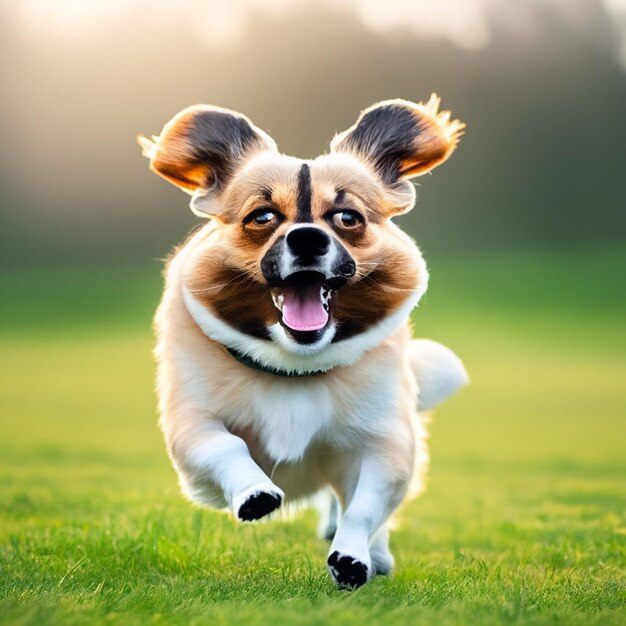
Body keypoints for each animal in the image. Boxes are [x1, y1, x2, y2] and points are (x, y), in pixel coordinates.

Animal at [139, 92, 466, 584]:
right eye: (262, 216)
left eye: (348, 217)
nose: (308, 238)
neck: (294, 367)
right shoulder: (192, 423)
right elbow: (225, 445)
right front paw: (255, 493)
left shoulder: (384, 442)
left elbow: (365, 507)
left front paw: (351, 556)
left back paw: (376, 556)